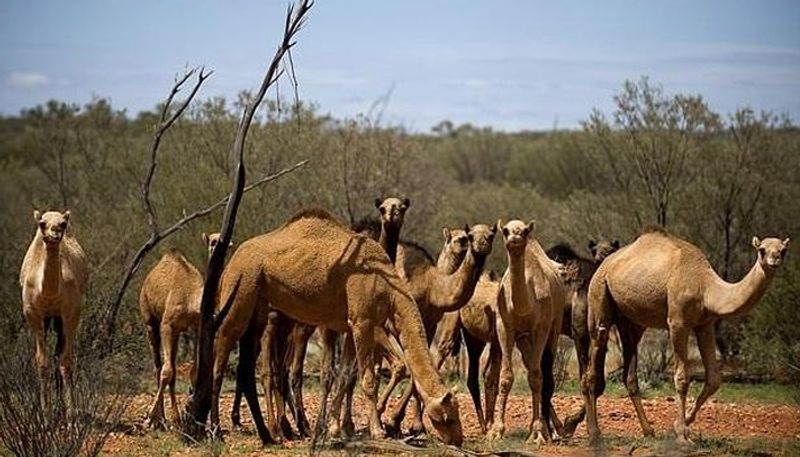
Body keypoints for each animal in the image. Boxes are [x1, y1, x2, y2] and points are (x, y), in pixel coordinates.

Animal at [19, 210, 88, 414]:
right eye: (42, 224)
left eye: (63, 224)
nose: (55, 233)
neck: (48, 292)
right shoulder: (32, 313)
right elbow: (42, 362)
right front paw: (45, 412)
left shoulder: (72, 312)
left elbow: (66, 361)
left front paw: (71, 413)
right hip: (50, 318)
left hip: (58, 319)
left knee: (59, 352)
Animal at [139, 232, 227, 428]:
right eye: (212, 241)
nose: (222, 243)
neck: (191, 299)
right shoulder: (167, 325)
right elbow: (166, 371)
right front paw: (149, 418)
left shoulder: (196, 326)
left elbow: (193, 370)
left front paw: (186, 411)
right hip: (150, 319)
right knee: (159, 366)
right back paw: (159, 419)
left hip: (177, 333)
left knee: (170, 366)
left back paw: (173, 418)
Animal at [212, 210, 462, 446]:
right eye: (448, 417)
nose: (458, 439)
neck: (390, 290)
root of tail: (233, 259)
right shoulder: (362, 321)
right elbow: (368, 379)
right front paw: (377, 431)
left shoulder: (351, 326)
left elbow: (344, 375)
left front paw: (332, 429)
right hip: (240, 287)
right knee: (222, 349)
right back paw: (218, 431)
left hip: (259, 304)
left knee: (248, 366)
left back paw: (269, 435)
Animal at [490, 219, 564, 444]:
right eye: (505, 231)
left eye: (523, 231)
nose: (514, 239)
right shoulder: (504, 327)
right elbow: (505, 377)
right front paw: (496, 431)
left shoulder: (541, 328)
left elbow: (536, 377)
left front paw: (538, 432)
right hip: (524, 341)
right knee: (533, 365)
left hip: (554, 327)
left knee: (544, 373)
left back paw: (553, 430)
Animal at [580, 230, 788, 444]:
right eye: (762, 250)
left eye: (783, 250)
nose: (774, 260)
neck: (705, 286)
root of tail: (603, 265)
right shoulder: (678, 323)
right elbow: (682, 378)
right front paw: (681, 434)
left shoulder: (705, 324)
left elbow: (714, 379)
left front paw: (681, 424)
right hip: (599, 294)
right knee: (593, 359)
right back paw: (594, 433)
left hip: (630, 321)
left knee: (629, 375)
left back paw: (648, 431)